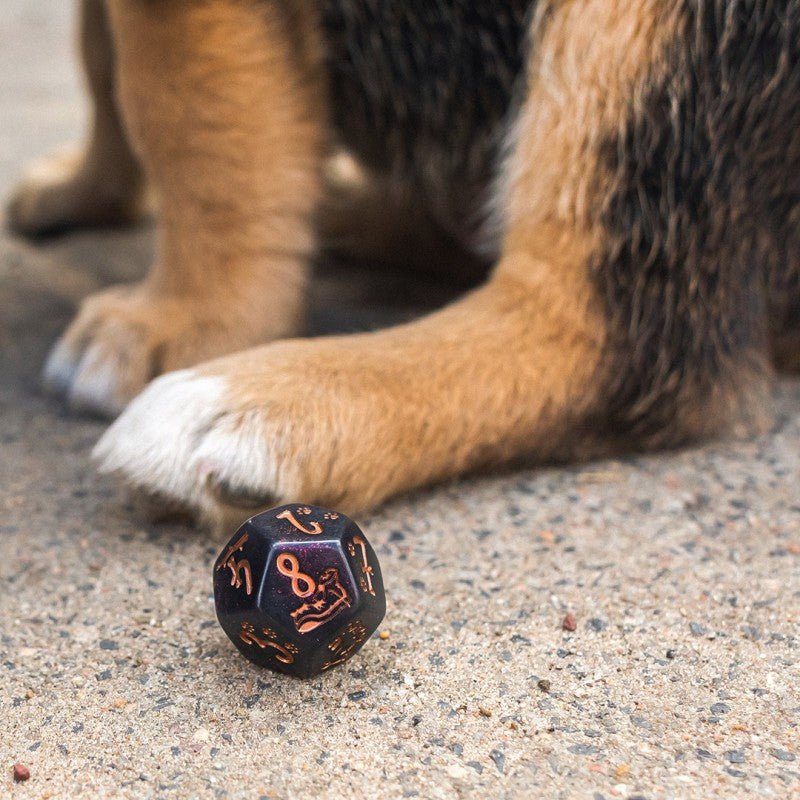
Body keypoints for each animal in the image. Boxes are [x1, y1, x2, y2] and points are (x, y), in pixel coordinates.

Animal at [6, 1, 800, 532]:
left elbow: (176, 106)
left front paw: (187, 317)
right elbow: (98, 54)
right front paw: (83, 187)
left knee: (618, 339)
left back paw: (257, 404)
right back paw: (350, 210)